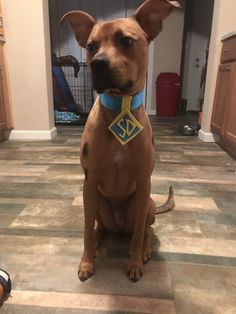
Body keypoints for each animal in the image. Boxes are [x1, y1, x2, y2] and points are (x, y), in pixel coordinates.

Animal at [61, 0, 176, 280]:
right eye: (91, 46)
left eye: (125, 40)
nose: (97, 64)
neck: (119, 108)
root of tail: (120, 227)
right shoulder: (89, 183)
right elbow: (85, 231)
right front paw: (86, 262)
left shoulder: (143, 183)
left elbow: (139, 234)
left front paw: (134, 262)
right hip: (96, 202)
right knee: (99, 226)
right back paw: (98, 238)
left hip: (147, 205)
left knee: (144, 231)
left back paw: (144, 250)